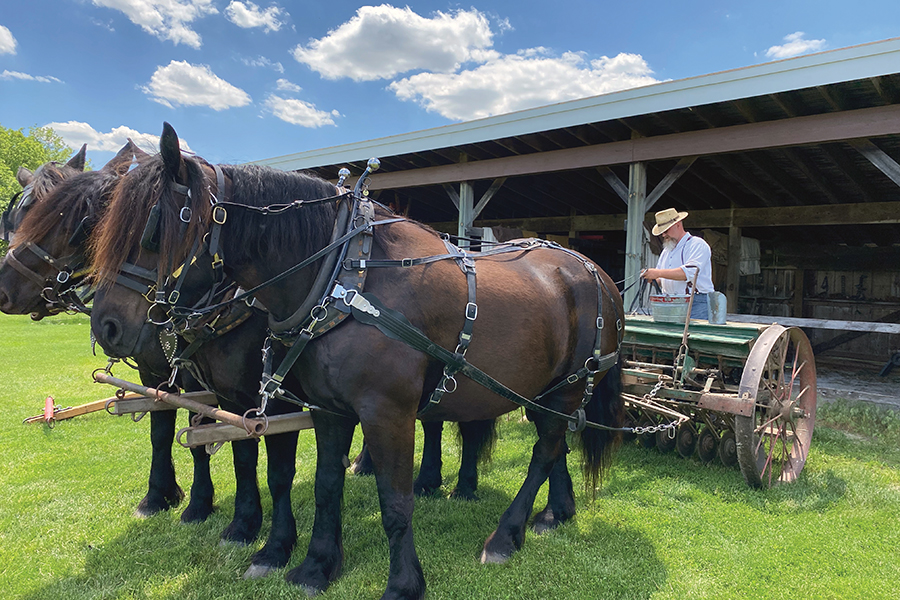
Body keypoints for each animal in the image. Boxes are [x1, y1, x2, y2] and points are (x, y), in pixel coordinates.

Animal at [93, 123, 624, 600]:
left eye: (155, 228)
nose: (105, 325)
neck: (345, 276)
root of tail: (595, 270)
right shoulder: (329, 410)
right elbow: (326, 485)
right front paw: (315, 567)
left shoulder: (387, 413)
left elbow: (396, 500)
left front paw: (403, 584)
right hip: (541, 392)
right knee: (555, 445)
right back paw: (555, 512)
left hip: (568, 387)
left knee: (545, 450)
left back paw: (506, 536)